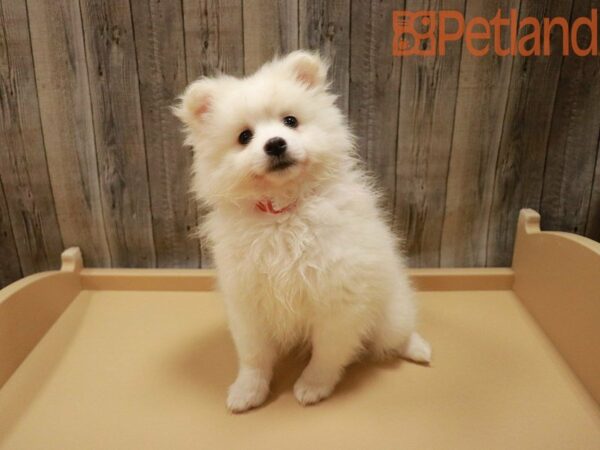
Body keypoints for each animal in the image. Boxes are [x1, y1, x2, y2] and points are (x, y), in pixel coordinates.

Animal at [173, 51, 432, 414]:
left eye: (290, 121)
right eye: (244, 137)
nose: (275, 144)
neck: (284, 212)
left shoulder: (338, 299)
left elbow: (327, 352)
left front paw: (313, 385)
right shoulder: (247, 303)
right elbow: (254, 357)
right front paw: (248, 391)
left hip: (390, 314)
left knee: (397, 334)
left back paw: (418, 348)